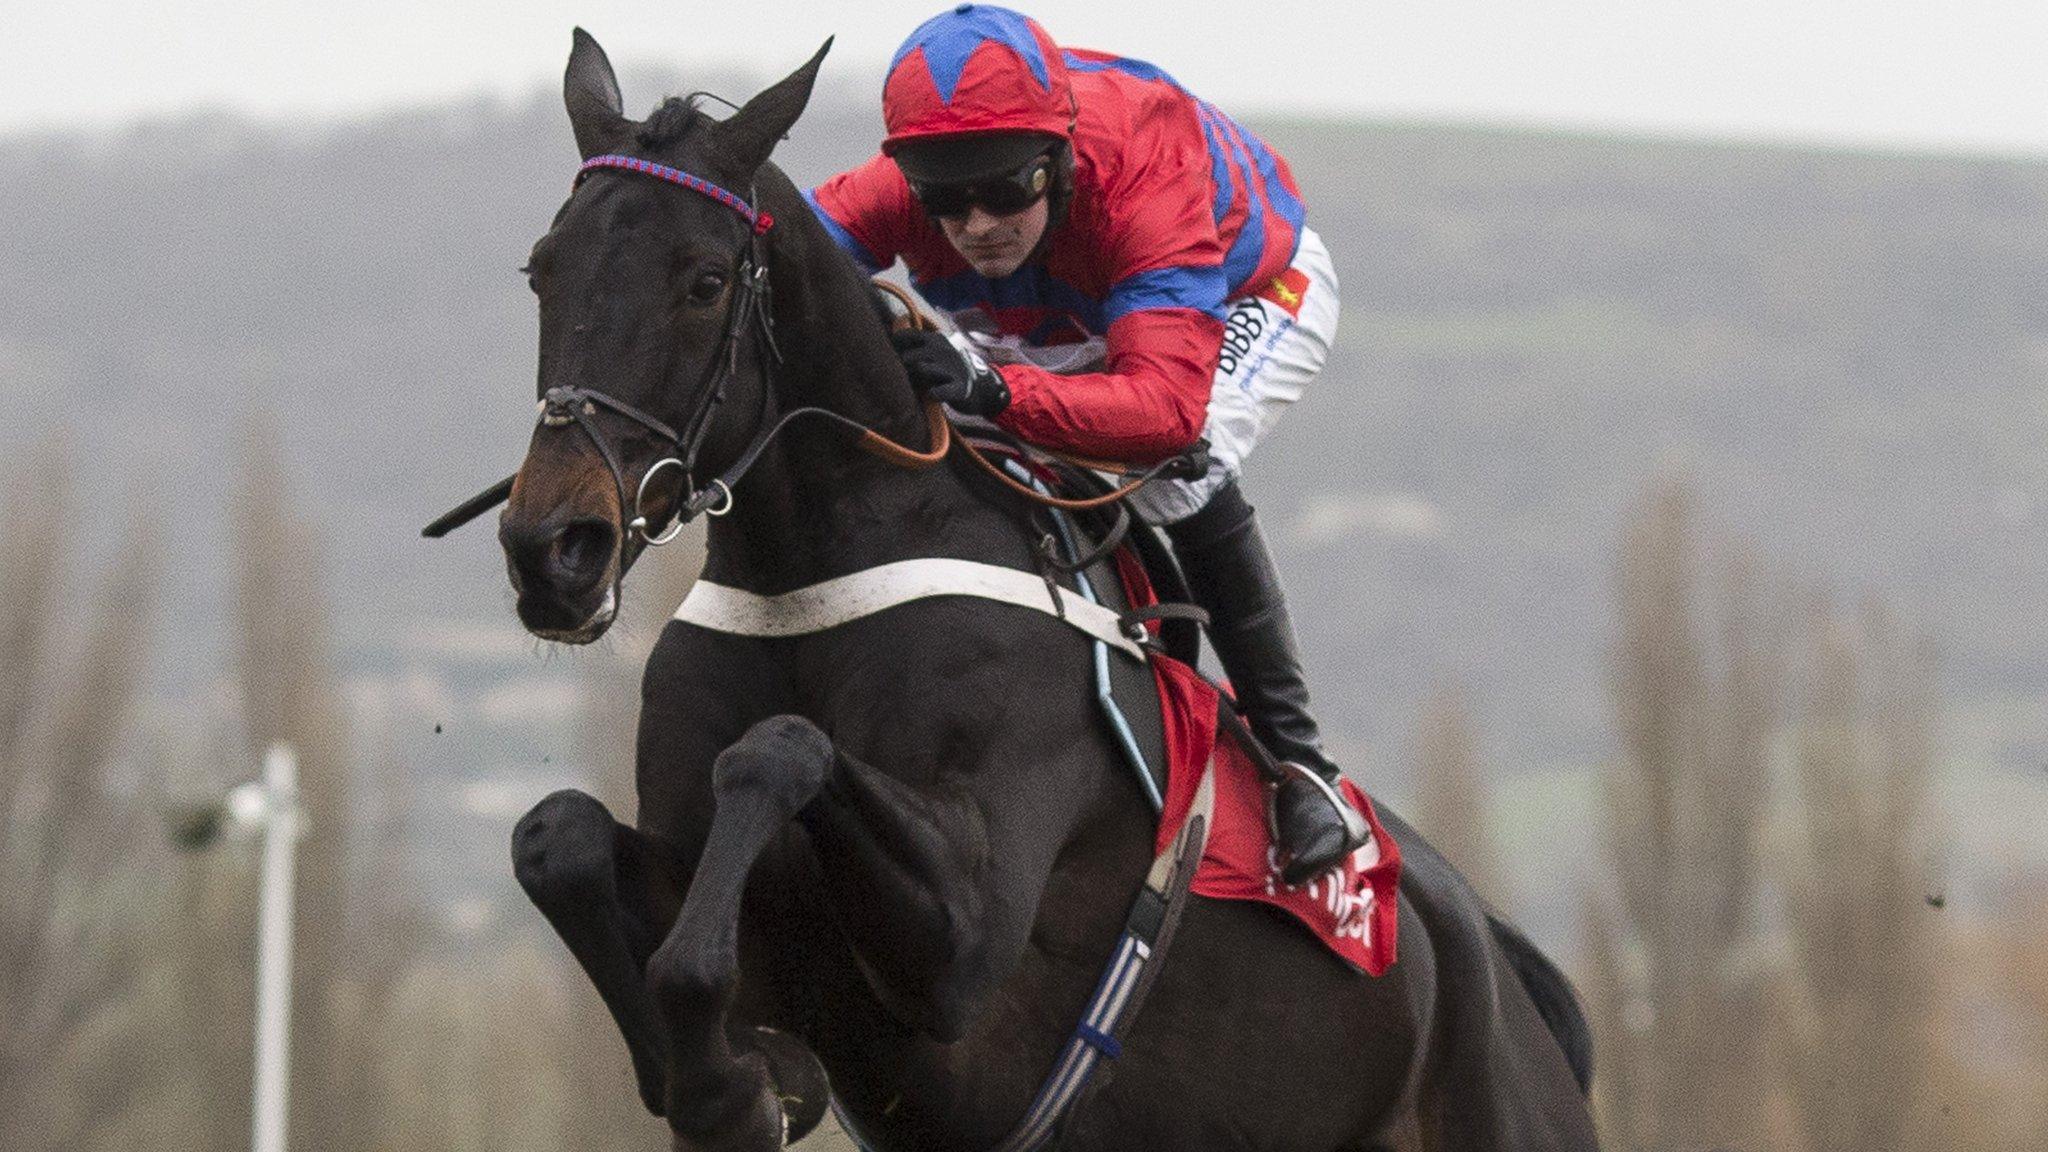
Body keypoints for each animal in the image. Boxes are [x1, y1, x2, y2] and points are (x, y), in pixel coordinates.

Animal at [479, 29, 1597, 1147]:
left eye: (706, 281)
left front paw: (734, 1079)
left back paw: (1313, 812)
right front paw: (731, 1078)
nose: (554, 549)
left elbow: (777, 750)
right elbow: (558, 837)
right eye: (539, 271)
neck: (815, 576)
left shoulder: (965, 941)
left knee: (1190, 472)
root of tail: (1493, 956)